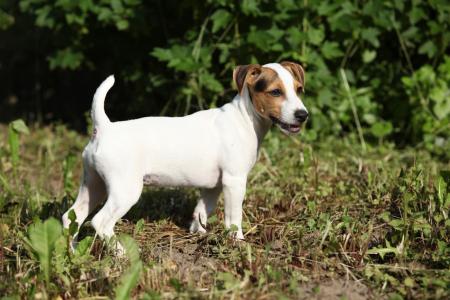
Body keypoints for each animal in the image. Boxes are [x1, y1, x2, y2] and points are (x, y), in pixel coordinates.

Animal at [61, 61, 308, 253]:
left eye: (298, 89)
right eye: (275, 92)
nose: (303, 115)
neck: (244, 119)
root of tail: (104, 128)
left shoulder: (213, 186)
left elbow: (201, 211)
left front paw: (199, 233)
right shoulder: (234, 181)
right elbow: (233, 218)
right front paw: (237, 242)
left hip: (93, 185)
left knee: (72, 216)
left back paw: (71, 254)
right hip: (125, 191)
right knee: (100, 222)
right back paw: (120, 253)